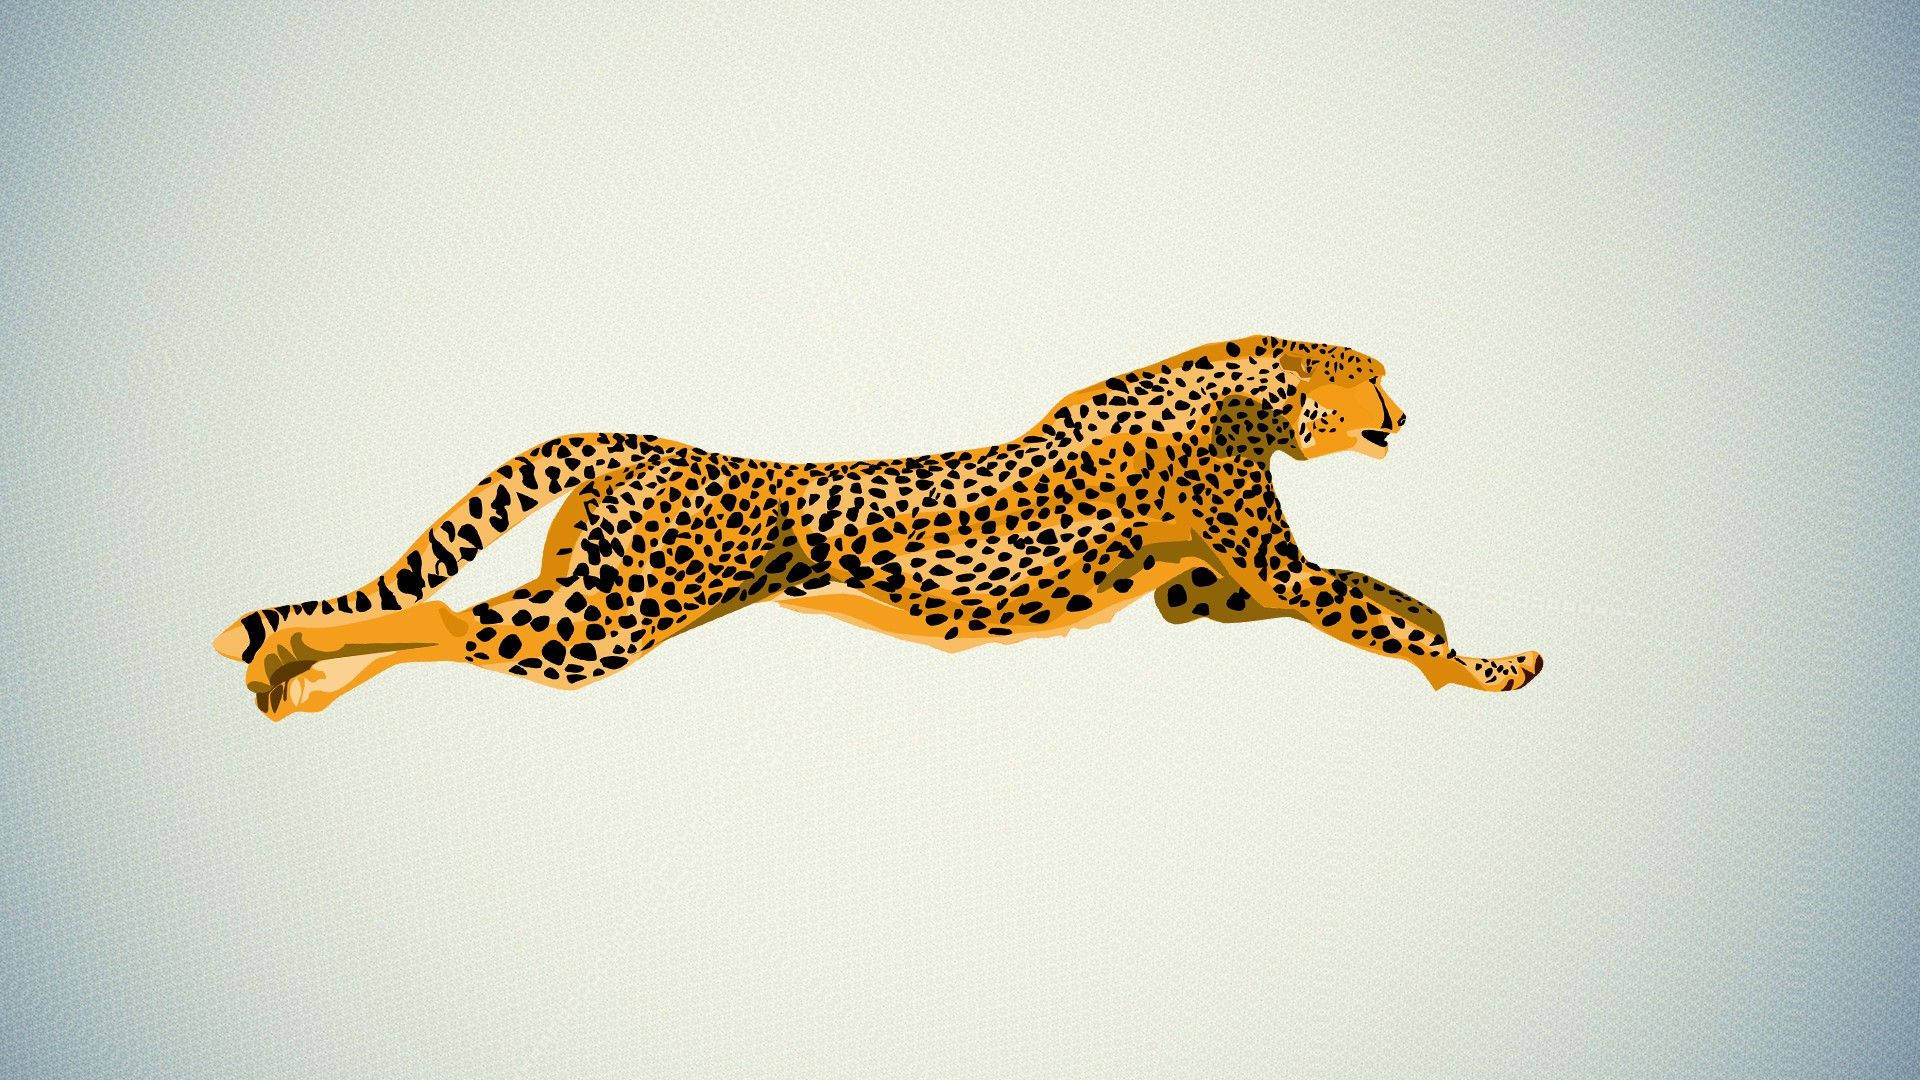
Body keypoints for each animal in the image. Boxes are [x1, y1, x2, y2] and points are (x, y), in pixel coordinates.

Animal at [215, 336, 1542, 719]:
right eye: (1372, 378)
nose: (1403, 414)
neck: (1254, 387)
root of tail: (649, 442)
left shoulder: (1202, 588)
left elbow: (1379, 592)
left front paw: (1450, 640)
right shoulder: (1263, 567)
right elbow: (1368, 606)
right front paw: (1490, 666)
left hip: (584, 596)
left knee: (440, 618)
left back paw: (290, 675)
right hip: (612, 618)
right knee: (445, 616)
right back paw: (285, 661)